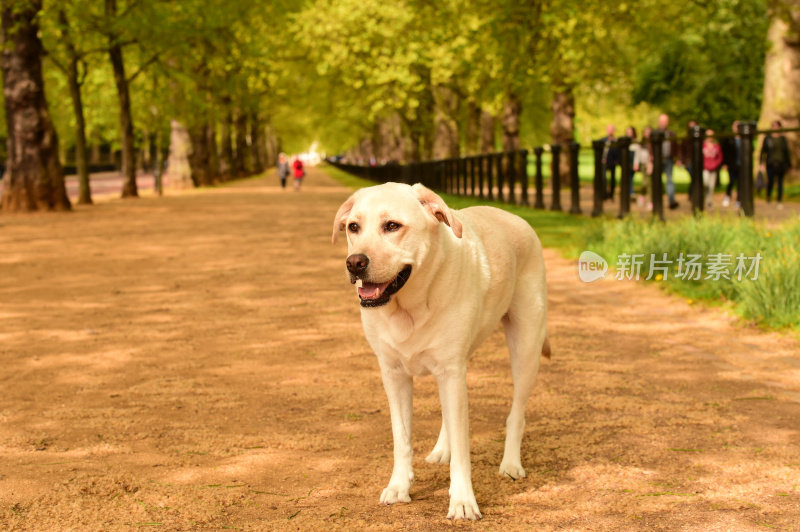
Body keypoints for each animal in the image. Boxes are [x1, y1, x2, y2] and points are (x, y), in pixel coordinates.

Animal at [332, 182, 552, 520]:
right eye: (353, 227)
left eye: (392, 226)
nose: (354, 262)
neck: (409, 308)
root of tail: (515, 217)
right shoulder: (394, 375)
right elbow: (402, 438)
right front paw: (399, 486)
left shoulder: (450, 372)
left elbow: (463, 448)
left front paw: (462, 501)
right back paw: (440, 450)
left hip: (526, 348)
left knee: (516, 413)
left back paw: (511, 463)